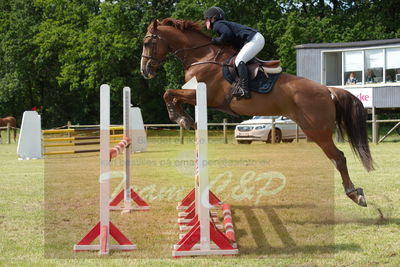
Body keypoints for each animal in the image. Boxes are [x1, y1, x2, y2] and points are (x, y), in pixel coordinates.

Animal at [140, 18, 372, 207]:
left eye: (147, 42)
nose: (145, 71)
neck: (202, 56)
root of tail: (327, 90)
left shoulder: (206, 95)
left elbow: (168, 93)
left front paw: (180, 118)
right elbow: (171, 95)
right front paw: (185, 119)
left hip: (317, 131)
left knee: (339, 158)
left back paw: (356, 194)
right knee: (336, 158)